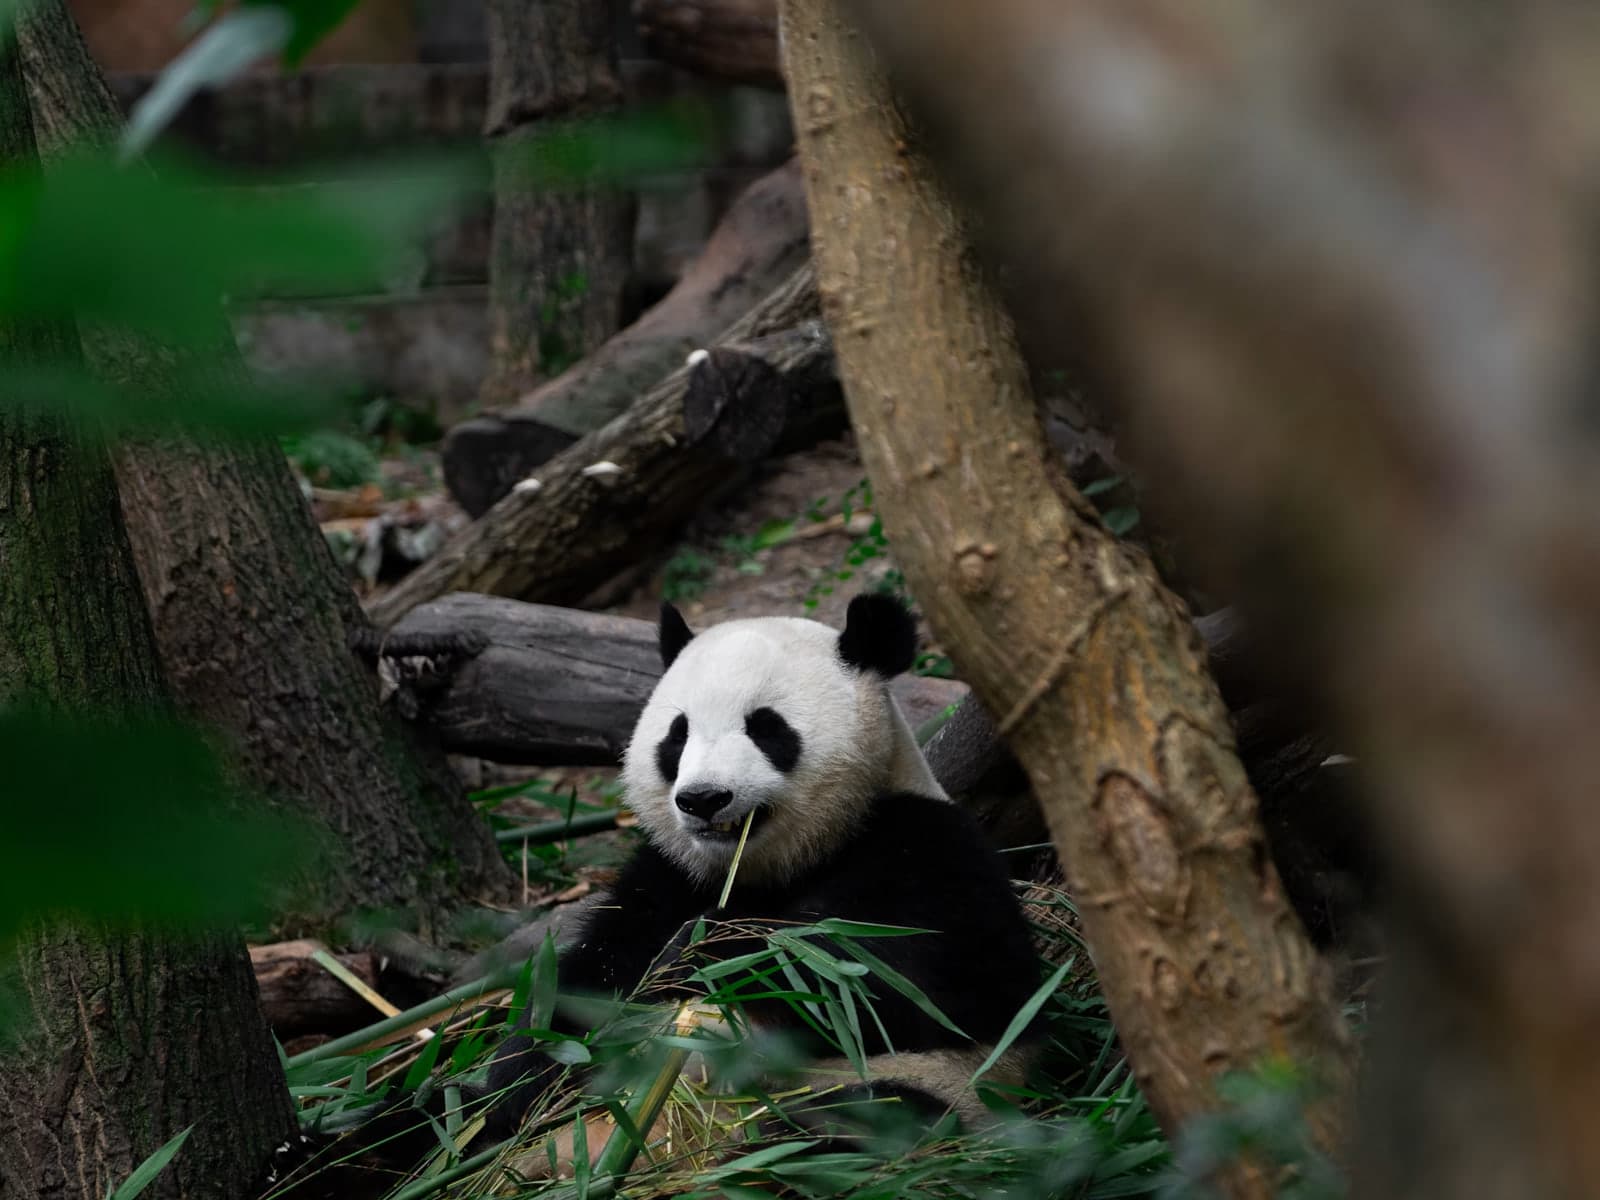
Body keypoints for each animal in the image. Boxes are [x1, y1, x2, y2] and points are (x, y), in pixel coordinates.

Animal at [481, 593, 1044, 1160]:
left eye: (766, 727)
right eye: (677, 734)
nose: (704, 798)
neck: (772, 864)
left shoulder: (927, 847)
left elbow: (912, 983)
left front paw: (706, 952)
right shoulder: (669, 874)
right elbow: (584, 987)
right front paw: (509, 1091)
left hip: (922, 1090)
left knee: (874, 1117)